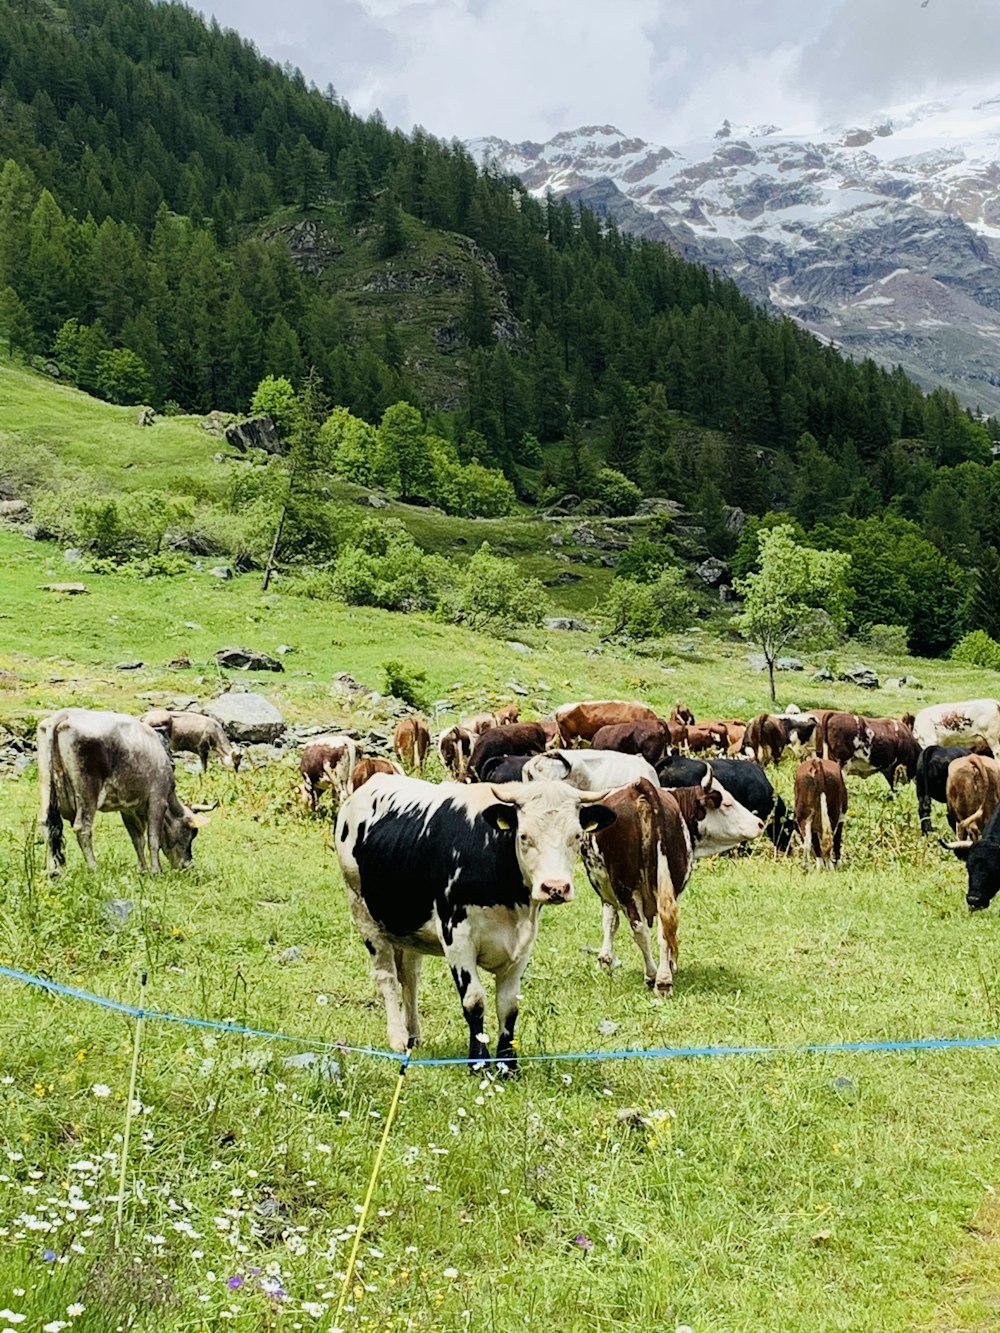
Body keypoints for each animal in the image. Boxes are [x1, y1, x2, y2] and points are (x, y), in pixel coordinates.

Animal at [38, 709, 210, 874]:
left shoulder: (127, 808)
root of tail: (66, 714)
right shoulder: (158, 800)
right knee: (83, 828)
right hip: (87, 791)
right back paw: (93, 867)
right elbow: (153, 838)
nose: (188, 865)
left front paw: (142, 869)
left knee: (47, 825)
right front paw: (156, 870)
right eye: (191, 832)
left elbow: (137, 839)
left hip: (47, 785)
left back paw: (54, 870)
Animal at [338, 778, 618, 1066]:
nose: (555, 887)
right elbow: (474, 1001)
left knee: (410, 976)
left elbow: (509, 1005)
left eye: (576, 836)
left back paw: (414, 1035)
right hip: (364, 914)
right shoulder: (457, 938)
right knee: (387, 977)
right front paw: (479, 1061)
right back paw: (397, 1038)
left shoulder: (523, 944)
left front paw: (507, 1064)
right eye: (524, 836)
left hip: (408, 929)